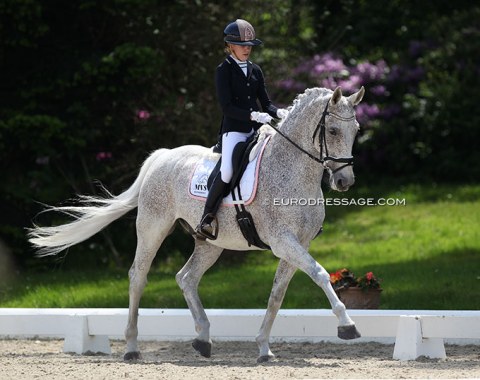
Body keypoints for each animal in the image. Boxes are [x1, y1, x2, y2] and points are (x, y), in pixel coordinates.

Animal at [28, 85, 366, 362]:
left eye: (356, 130)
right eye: (333, 130)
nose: (344, 181)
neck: (292, 171)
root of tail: (163, 156)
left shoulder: (297, 244)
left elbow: (277, 294)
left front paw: (263, 348)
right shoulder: (283, 241)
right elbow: (320, 274)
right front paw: (347, 325)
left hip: (210, 242)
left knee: (186, 278)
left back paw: (203, 339)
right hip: (153, 227)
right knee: (138, 276)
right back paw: (132, 348)